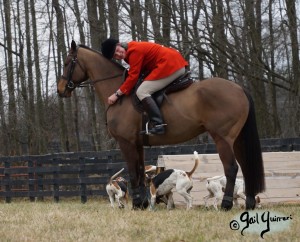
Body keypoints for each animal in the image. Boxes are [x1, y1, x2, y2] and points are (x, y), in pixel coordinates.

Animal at [56, 39, 264, 210]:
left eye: (67, 63)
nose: (60, 90)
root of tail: (239, 88)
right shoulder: (138, 143)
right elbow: (140, 172)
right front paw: (142, 204)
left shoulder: (126, 142)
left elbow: (133, 173)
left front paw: (137, 205)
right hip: (237, 139)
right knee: (245, 167)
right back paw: (249, 203)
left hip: (222, 138)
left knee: (231, 168)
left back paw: (226, 205)